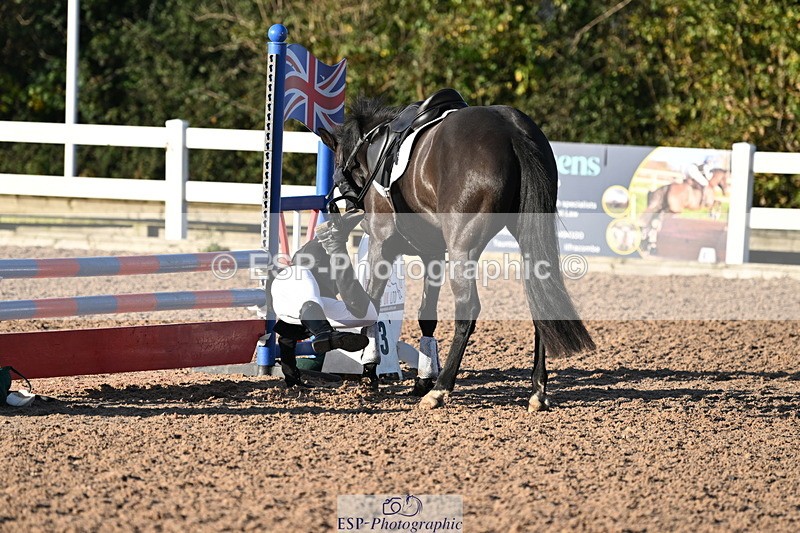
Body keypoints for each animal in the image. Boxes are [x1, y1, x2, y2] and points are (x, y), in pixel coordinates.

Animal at [318, 93, 595, 412]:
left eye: (339, 163)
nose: (349, 207)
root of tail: (511, 130)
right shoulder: (433, 254)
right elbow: (427, 316)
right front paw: (421, 378)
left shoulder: (381, 242)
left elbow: (372, 304)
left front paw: (370, 371)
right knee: (541, 304)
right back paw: (537, 390)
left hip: (463, 246)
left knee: (467, 311)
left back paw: (441, 388)